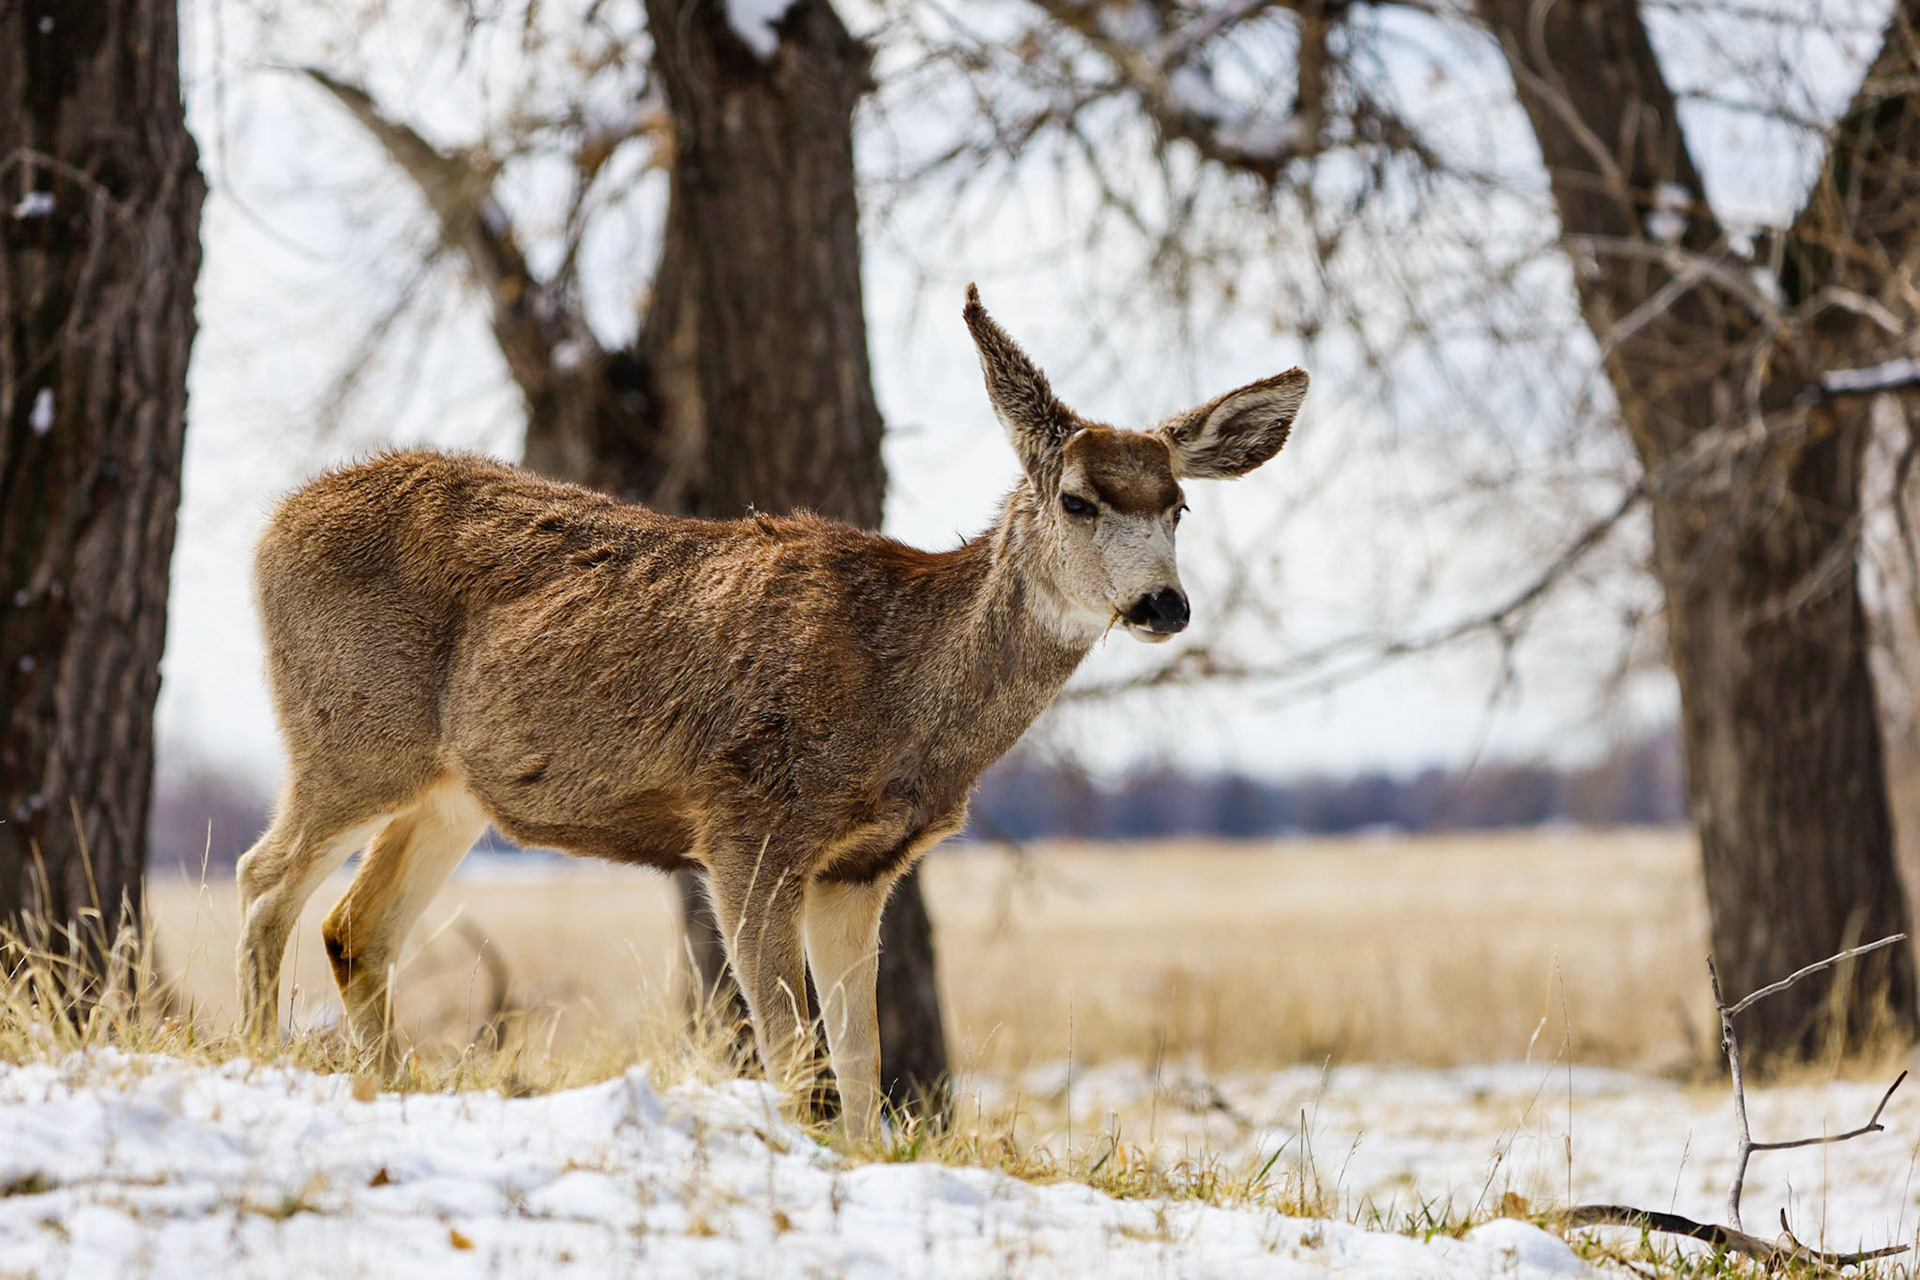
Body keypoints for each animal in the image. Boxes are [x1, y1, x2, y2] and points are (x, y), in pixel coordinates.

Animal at [234, 285, 1308, 1141]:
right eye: (1080, 500)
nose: (1163, 604)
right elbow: (806, 1067)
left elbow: (865, 1071)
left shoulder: (861, 868)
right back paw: (257, 1058)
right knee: (263, 879)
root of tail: (272, 524)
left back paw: (388, 1085)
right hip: (350, 736)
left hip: (449, 791)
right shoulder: (746, 827)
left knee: (354, 925)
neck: (904, 696)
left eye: (1178, 508)